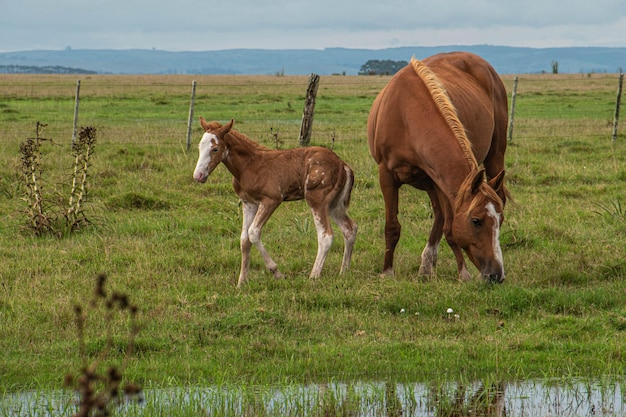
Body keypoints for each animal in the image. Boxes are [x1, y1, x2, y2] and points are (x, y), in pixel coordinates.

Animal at [193, 116, 356, 286]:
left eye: (215, 149)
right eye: (199, 146)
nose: (198, 175)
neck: (249, 166)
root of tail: (343, 165)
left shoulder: (271, 200)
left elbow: (253, 232)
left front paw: (277, 273)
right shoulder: (248, 203)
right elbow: (244, 240)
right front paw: (242, 281)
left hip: (317, 200)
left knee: (326, 236)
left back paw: (314, 276)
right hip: (334, 205)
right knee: (349, 229)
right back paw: (344, 271)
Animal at [366, 50, 508, 282]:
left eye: (501, 220)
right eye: (476, 221)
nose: (496, 274)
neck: (407, 115)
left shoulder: (440, 181)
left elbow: (450, 229)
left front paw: (463, 273)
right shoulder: (386, 175)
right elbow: (392, 227)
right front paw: (387, 272)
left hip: (494, 157)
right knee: (439, 216)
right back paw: (426, 264)